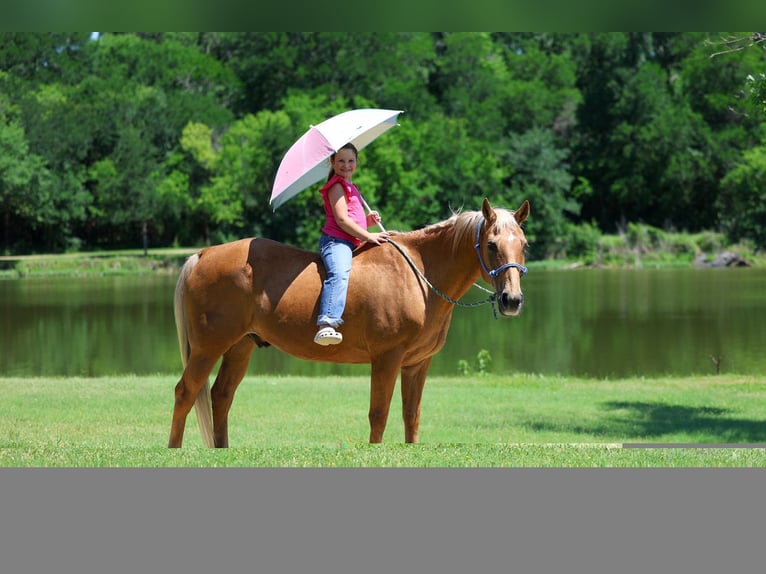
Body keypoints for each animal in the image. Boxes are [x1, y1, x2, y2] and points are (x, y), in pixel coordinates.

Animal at [168, 197, 530, 447]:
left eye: (524, 245)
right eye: (492, 245)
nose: (511, 300)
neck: (416, 275)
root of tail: (202, 254)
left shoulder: (417, 363)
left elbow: (411, 416)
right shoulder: (387, 358)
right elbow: (379, 414)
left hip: (240, 347)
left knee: (221, 396)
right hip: (208, 347)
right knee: (186, 392)